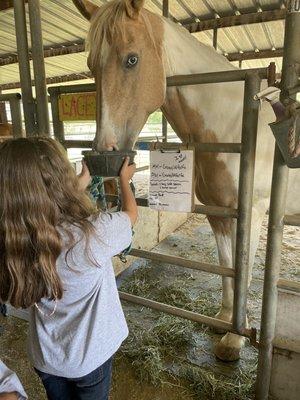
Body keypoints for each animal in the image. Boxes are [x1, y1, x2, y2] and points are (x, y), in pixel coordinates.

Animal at [73, 0, 300, 360]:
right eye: (91, 66)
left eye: (132, 59)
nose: (105, 153)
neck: (235, 126)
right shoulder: (219, 214)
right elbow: (227, 266)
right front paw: (223, 320)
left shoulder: (251, 214)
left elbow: (244, 270)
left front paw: (234, 340)